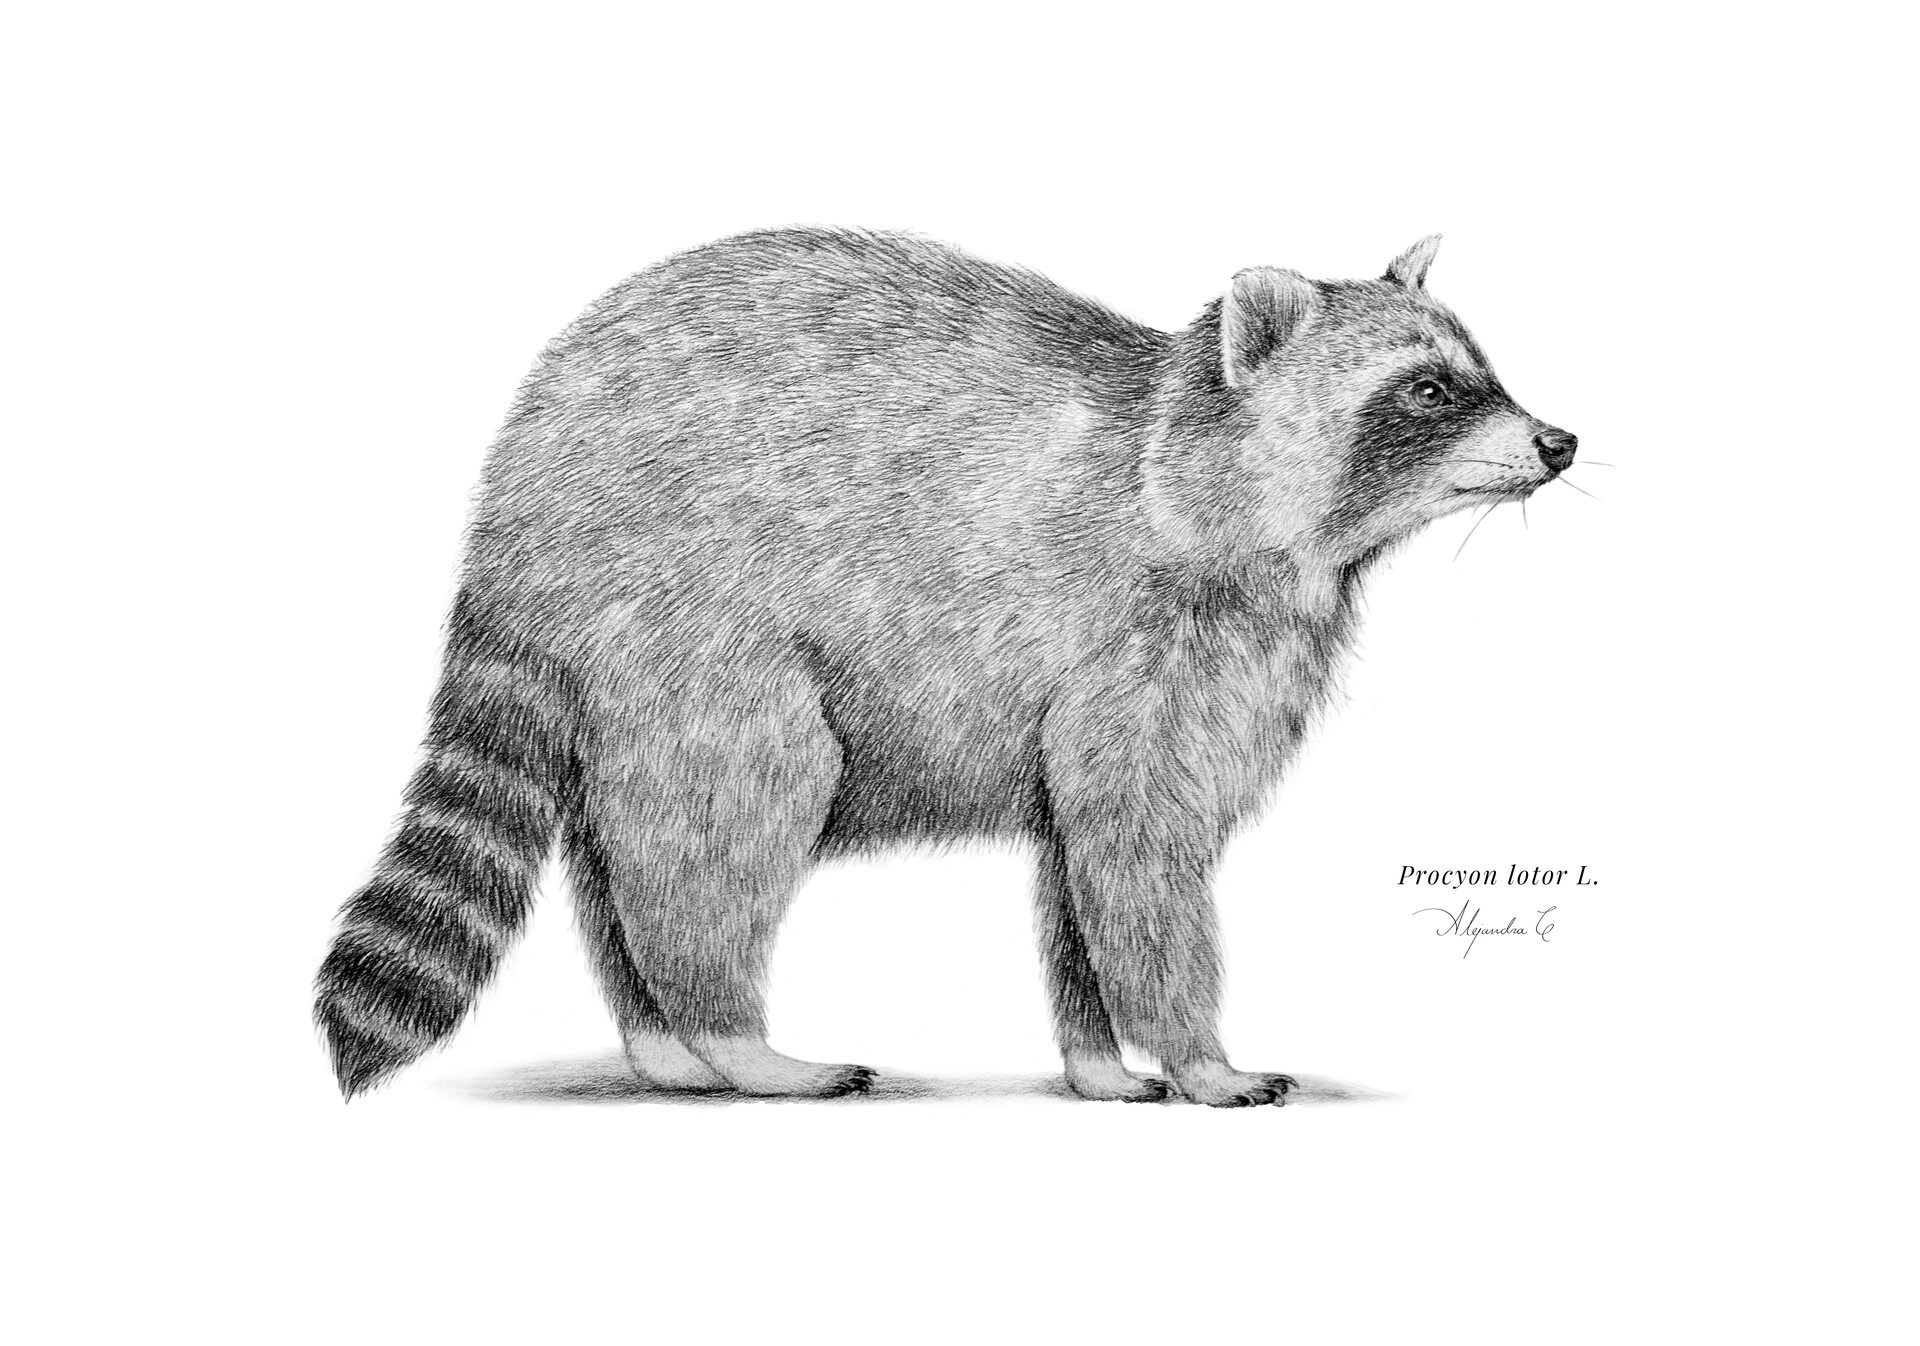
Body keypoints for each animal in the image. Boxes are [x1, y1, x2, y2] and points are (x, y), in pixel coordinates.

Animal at [315, 228, 1576, 1107]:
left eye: (1483, 368)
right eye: (1427, 389)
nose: (1559, 440)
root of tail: (516, 487)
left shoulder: (1177, 664)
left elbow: (1078, 865)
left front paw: (1099, 1060)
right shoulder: (1140, 639)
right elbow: (1141, 855)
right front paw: (1200, 1055)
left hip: (620, 657)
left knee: (613, 835)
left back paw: (663, 1036)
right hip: (690, 602)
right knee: (732, 804)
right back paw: (730, 1032)